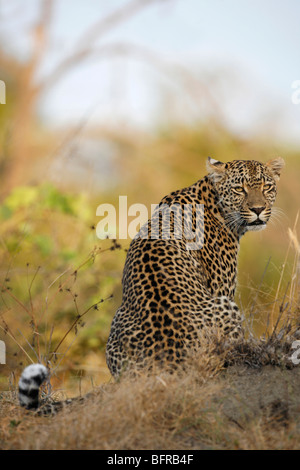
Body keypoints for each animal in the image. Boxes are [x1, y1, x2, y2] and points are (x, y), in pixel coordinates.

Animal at [105, 158, 284, 378]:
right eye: (239, 189)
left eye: (266, 187)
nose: (258, 209)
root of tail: (167, 359)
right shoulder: (222, 287)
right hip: (226, 306)